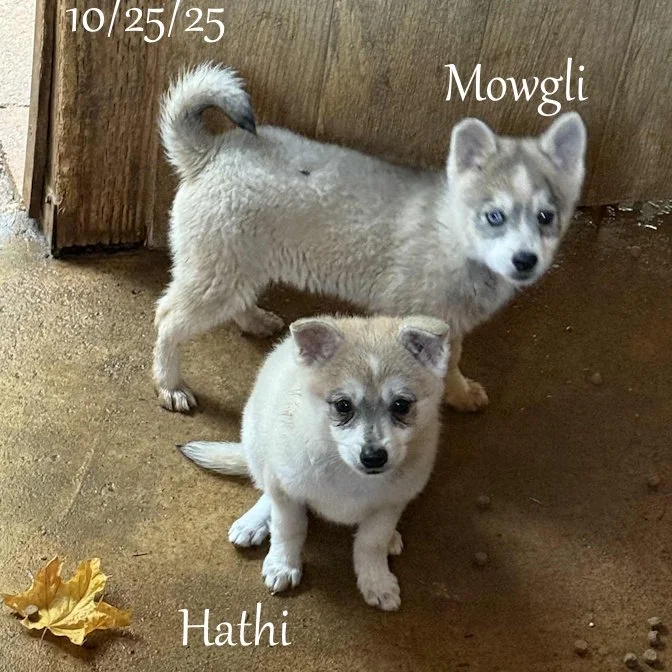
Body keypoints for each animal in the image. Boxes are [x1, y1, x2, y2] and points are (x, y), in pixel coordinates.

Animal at [154, 63, 586, 413]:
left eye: (546, 217)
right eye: (494, 216)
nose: (525, 260)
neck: (457, 239)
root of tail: (210, 152)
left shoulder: (450, 326)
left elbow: (451, 364)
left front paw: (459, 393)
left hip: (240, 264)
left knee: (235, 300)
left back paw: (253, 320)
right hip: (217, 273)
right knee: (169, 319)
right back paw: (170, 383)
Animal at [180, 314, 450, 610]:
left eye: (401, 405)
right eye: (343, 406)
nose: (373, 457)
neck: (346, 469)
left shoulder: (391, 503)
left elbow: (371, 543)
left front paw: (376, 580)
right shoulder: (286, 491)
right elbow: (289, 528)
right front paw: (283, 564)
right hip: (257, 445)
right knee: (265, 488)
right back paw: (254, 522)